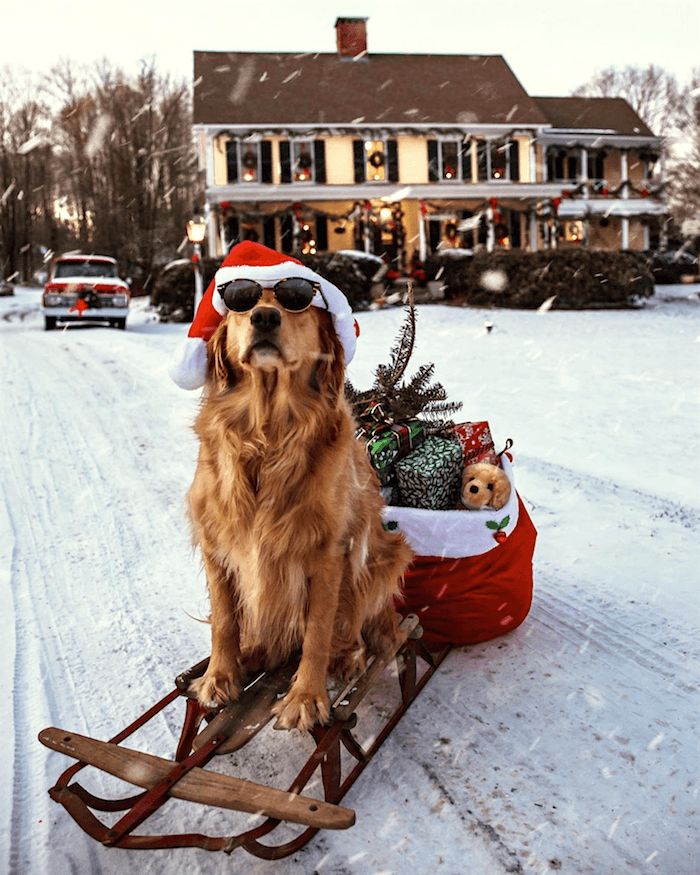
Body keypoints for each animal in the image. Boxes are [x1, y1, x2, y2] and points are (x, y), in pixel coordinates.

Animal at [189, 290, 412, 732]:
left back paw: (348, 657)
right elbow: (224, 620)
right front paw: (219, 678)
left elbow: (317, 631)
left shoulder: (327, 554)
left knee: (359, 630)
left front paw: (306, 698)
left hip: (386, 556)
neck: (267, 437)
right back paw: (254, 651)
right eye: (241, 302)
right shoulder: (215, 543)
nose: (263, 317)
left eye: (297, 302)